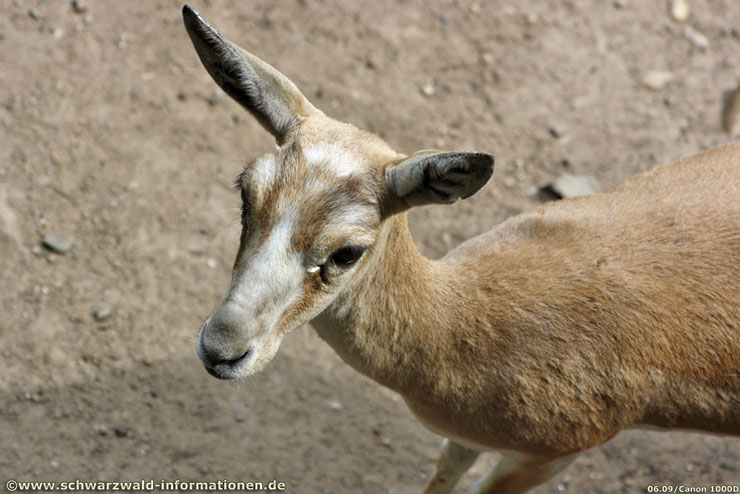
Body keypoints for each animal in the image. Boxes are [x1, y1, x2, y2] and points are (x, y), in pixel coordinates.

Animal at [182, 5, 740, 493]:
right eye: (246, 192)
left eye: (347, 251)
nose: (221, 349)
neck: (459, 324)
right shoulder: (464, 440)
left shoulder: (547, 457)